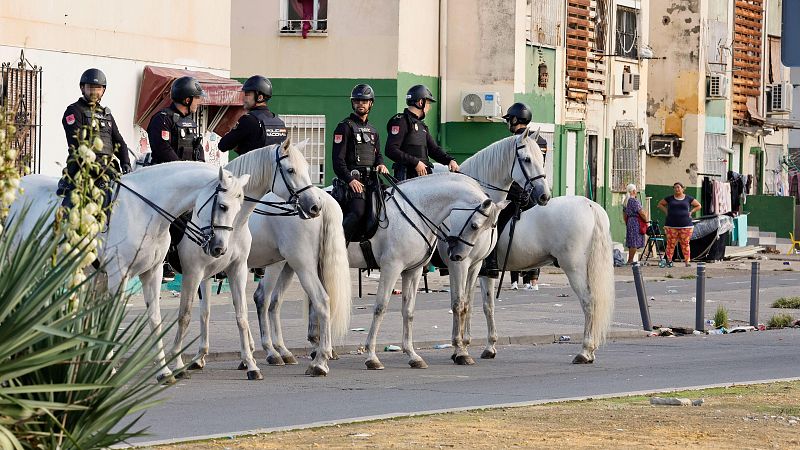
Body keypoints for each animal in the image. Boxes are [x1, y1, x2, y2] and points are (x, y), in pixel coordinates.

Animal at [7, 163, 248, 382]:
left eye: (239, 209)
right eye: (223, 206)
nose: (219, 249)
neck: (145, 211)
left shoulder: (152, 273)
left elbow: (155, 318)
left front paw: (163, 371)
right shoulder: (118, 274)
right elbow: (111, 319)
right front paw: (108, 370)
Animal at [170, 141, 330, 380]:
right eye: (291, 170)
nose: (314, 206)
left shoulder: (224, 270)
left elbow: (221, 312)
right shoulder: (201, 272)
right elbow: (204, 312)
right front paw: (200, 357)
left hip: (296, 264)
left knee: (313, 300)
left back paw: (312, 358)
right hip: (293, 265)